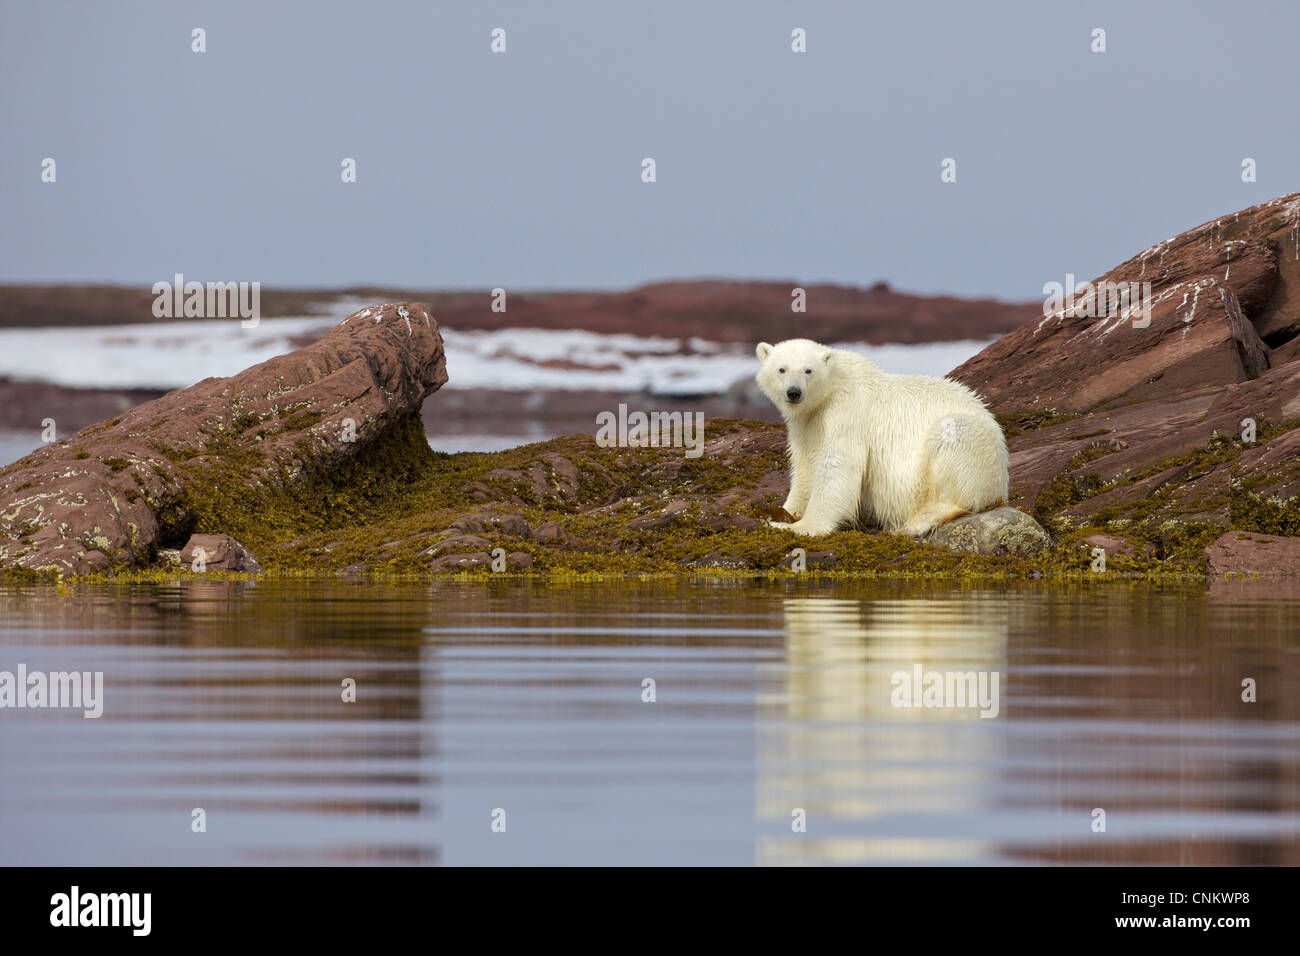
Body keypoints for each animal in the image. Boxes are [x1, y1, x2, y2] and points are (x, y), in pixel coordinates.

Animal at [754, 340, 1003, 538]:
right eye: (781, 369)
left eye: (808, 370)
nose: (793, 392)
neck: (834, 386)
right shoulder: (806, 424)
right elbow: (804, 467)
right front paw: (783, 512)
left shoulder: (846, 414)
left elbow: (836, 467)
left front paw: (797, 526)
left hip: (973, 445)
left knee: (952, 441)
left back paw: (918, 521)